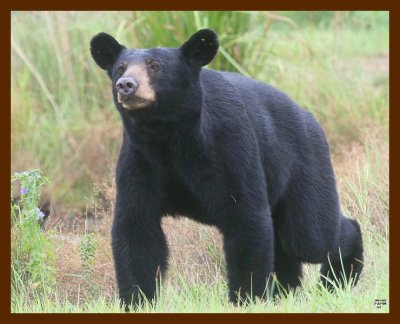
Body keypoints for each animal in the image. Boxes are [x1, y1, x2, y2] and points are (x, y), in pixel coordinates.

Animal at [90, 29, 362, 308]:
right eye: (120, 68)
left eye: (155, 67)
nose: (126, 85)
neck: (169, 136)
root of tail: (309, 117)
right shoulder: (140, 161)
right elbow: (137, 229)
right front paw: (137, 300)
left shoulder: (229, 148)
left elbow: (246, 219)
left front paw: (246, 298)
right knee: (287, 244)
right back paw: (288, 292)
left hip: (304, 164)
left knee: (309, 235)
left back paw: (340, 274)